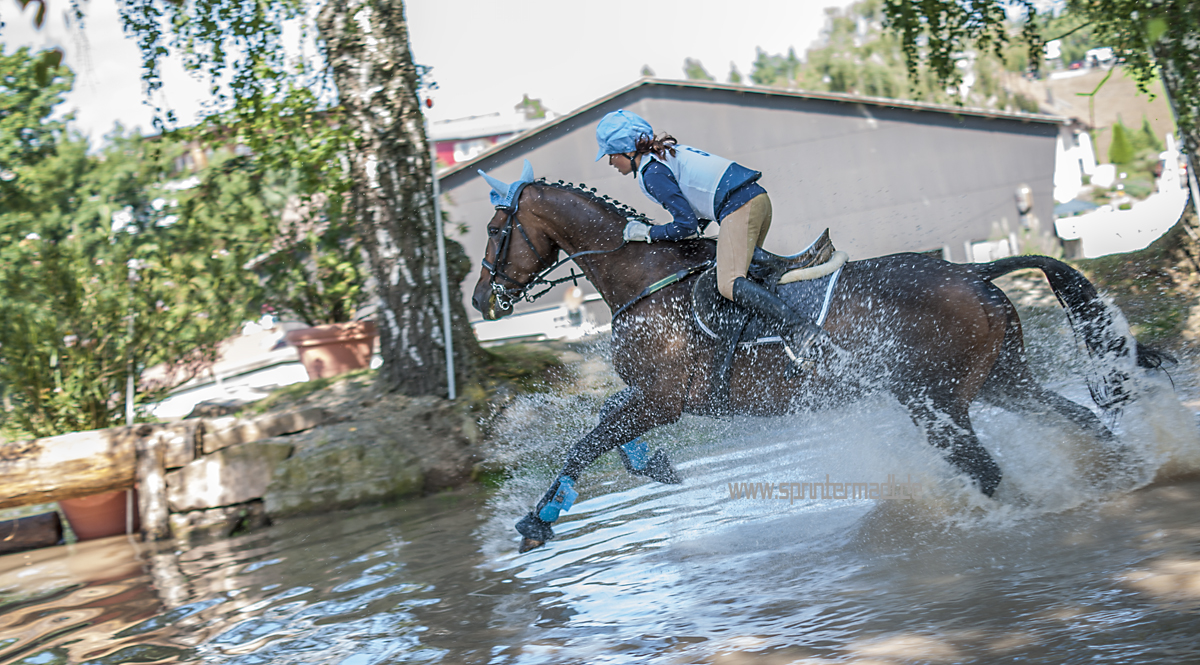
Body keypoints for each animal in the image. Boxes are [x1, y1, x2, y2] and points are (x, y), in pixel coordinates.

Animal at [472, 171, 1166, 549]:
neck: (645, 280)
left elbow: (585, 442)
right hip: (1002, 382)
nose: (482, 299)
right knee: (1084, 424)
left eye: (495, 230)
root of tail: (973, 271)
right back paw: (1129, 475)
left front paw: (538, 520)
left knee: (986, 469)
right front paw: (652, 465)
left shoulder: (664, 399)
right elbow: (606, 422)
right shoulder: (655, 398)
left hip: (933, 402)